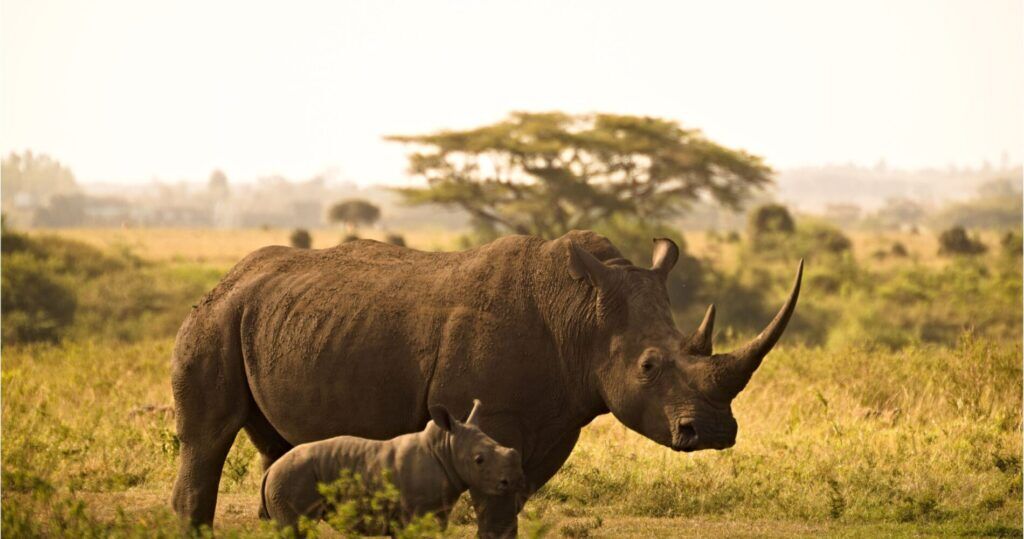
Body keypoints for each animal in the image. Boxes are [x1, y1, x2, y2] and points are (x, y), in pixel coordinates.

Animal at [259, 399, 524, 534]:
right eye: (479, 460)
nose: (513, 482)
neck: (445, 449)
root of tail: (270, 471)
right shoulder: (417, 511)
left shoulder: (437, 512)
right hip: (291, 478)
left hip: (289, 478)